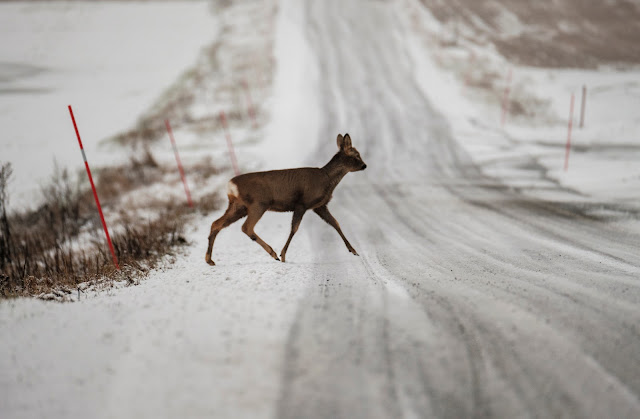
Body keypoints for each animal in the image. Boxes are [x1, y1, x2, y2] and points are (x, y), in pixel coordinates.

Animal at [205, 134, 364, 266]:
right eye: (356, 155)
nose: (364, 165)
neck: (327, 180)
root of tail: (231, 185)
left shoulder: (319, 206)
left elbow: (335, 223)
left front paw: (354, 250)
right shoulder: (302, 203)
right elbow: (294, 228)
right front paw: (283, 255)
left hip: (239, 206)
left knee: (216, 224)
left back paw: (209, 260)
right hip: (258, 203)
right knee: (246, 227)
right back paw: (273, 253)